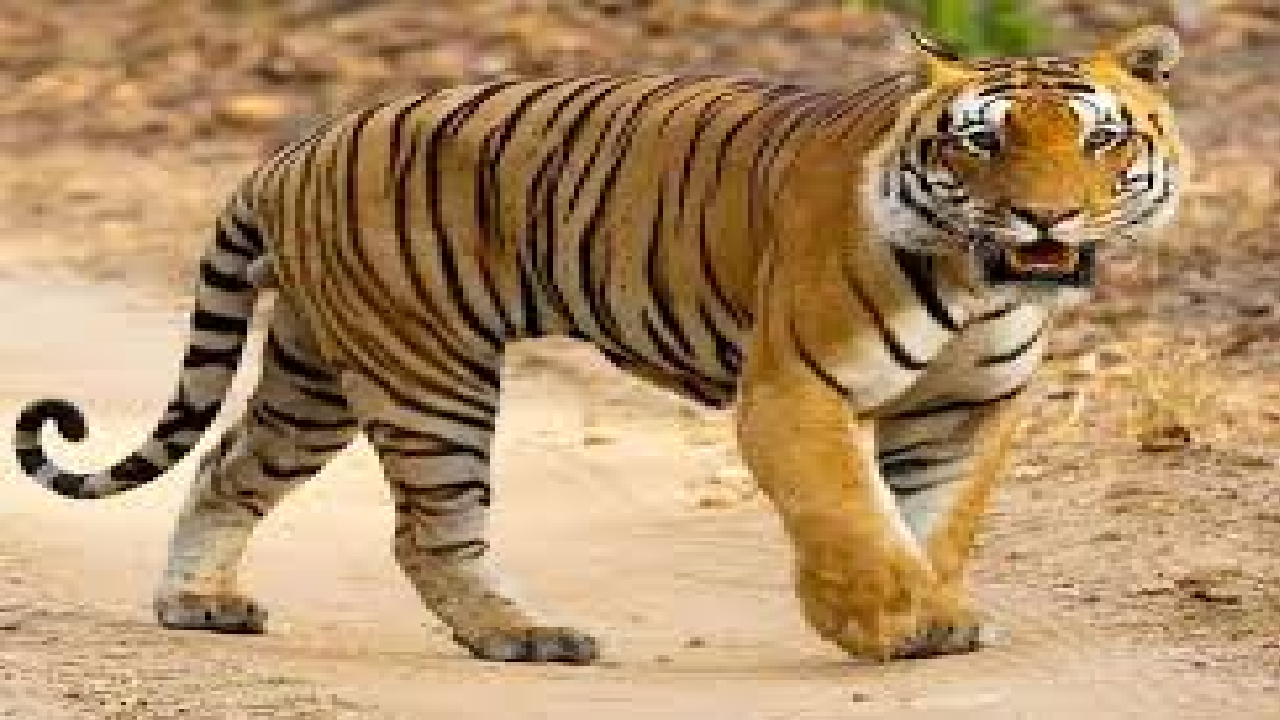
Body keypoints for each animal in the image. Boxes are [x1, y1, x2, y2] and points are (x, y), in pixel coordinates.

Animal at [13, 26, 1184, 664]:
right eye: (980, 141)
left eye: (1098, 138)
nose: (1043, 219)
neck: (979, 286)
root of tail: (296, 147)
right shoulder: (793, 391)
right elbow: (849, 516)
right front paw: (872, 620)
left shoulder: (965, 409)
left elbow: (934, 523)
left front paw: (932, 612)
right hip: (427, 374)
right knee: (429, 533)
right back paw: (522, 637)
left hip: (318, 373)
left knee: (227, 466)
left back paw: (196, 604)